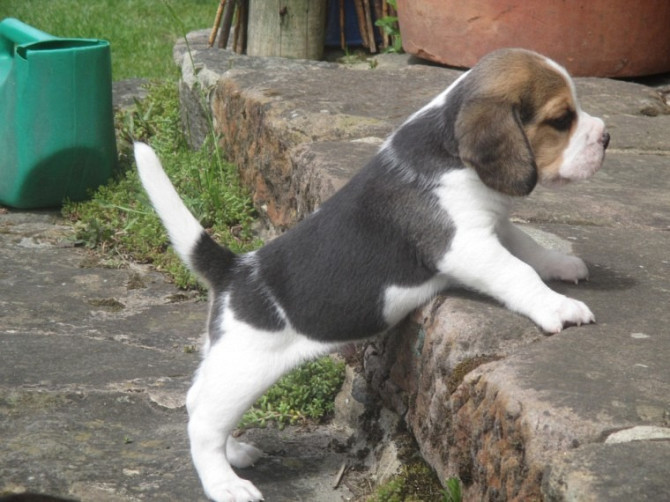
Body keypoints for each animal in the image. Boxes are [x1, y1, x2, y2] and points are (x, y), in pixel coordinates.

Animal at [134, 48, 612, 502]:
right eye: (561, 119)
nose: (607, 136)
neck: (448, 148)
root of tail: (235, 270)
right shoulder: (466, 246)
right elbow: (518, 272)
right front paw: (558, 307)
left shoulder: (495, 225)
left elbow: (529, 248)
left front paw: (562, 265)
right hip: (244, 368)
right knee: (202, 424)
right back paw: (224, 484)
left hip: (225, 360)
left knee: (196, 401)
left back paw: (234, 453)